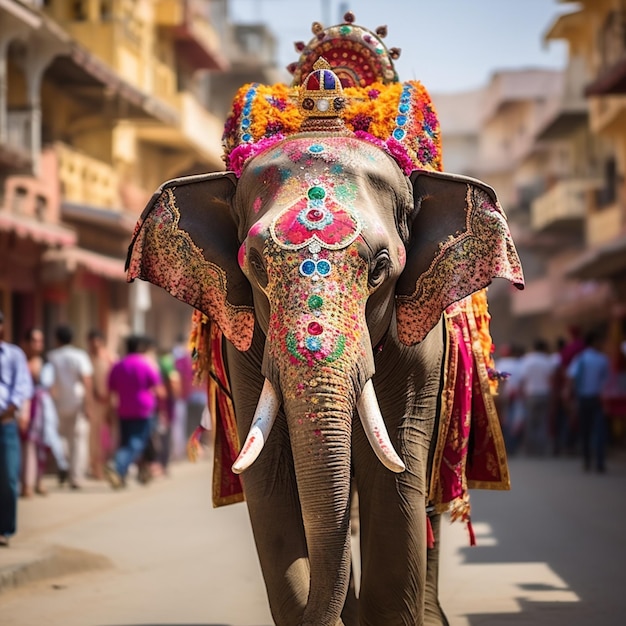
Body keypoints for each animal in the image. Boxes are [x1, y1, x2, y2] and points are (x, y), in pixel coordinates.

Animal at [124, 14, 520, 624]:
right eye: (253, 264)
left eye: (380, 267)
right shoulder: (246, 344)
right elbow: (270, 491)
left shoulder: (419, 340)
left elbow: (396, 483)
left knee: (424, 502)